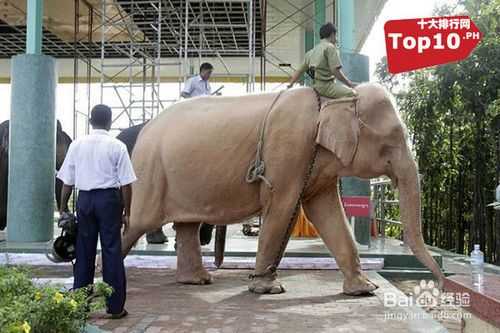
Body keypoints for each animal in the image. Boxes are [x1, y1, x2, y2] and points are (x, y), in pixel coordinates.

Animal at [121, 84, 446, 294]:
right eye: (391, 141)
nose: (441, 286)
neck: (333, 97)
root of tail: (144, 129)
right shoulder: (288, 148)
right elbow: (281, 206)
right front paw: (268, 288)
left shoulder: (314, 163)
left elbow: (327, 212)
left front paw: (364, 289)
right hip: (151, 172)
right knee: (138, 223)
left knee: (186, 225)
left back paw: (198, 282)